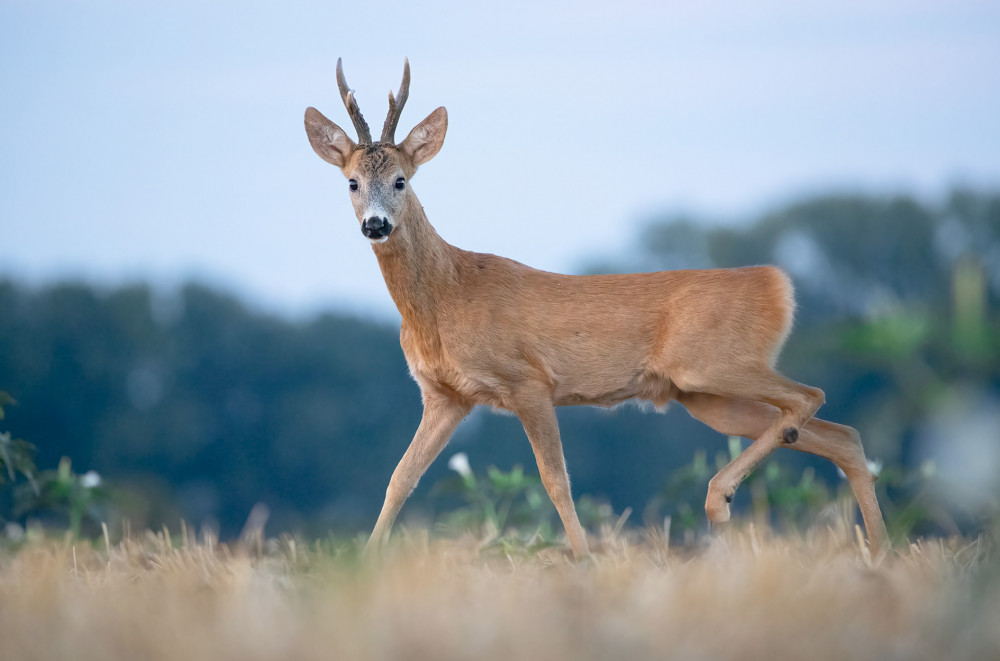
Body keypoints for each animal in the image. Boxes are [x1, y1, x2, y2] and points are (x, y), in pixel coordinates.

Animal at [304, 59, 892, 560]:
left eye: (401, 180)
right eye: (352, 182)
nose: (375, 224)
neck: (446, 301)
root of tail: (776, 283)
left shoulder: (528, 382)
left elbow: (555, 479)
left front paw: (583, 559)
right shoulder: (445, 397)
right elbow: (399, 478)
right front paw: (366, 564)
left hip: (713, 364)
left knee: (810, 396)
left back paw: (719, 499)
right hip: (707, 395)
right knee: (841, 435)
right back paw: (879, 552)